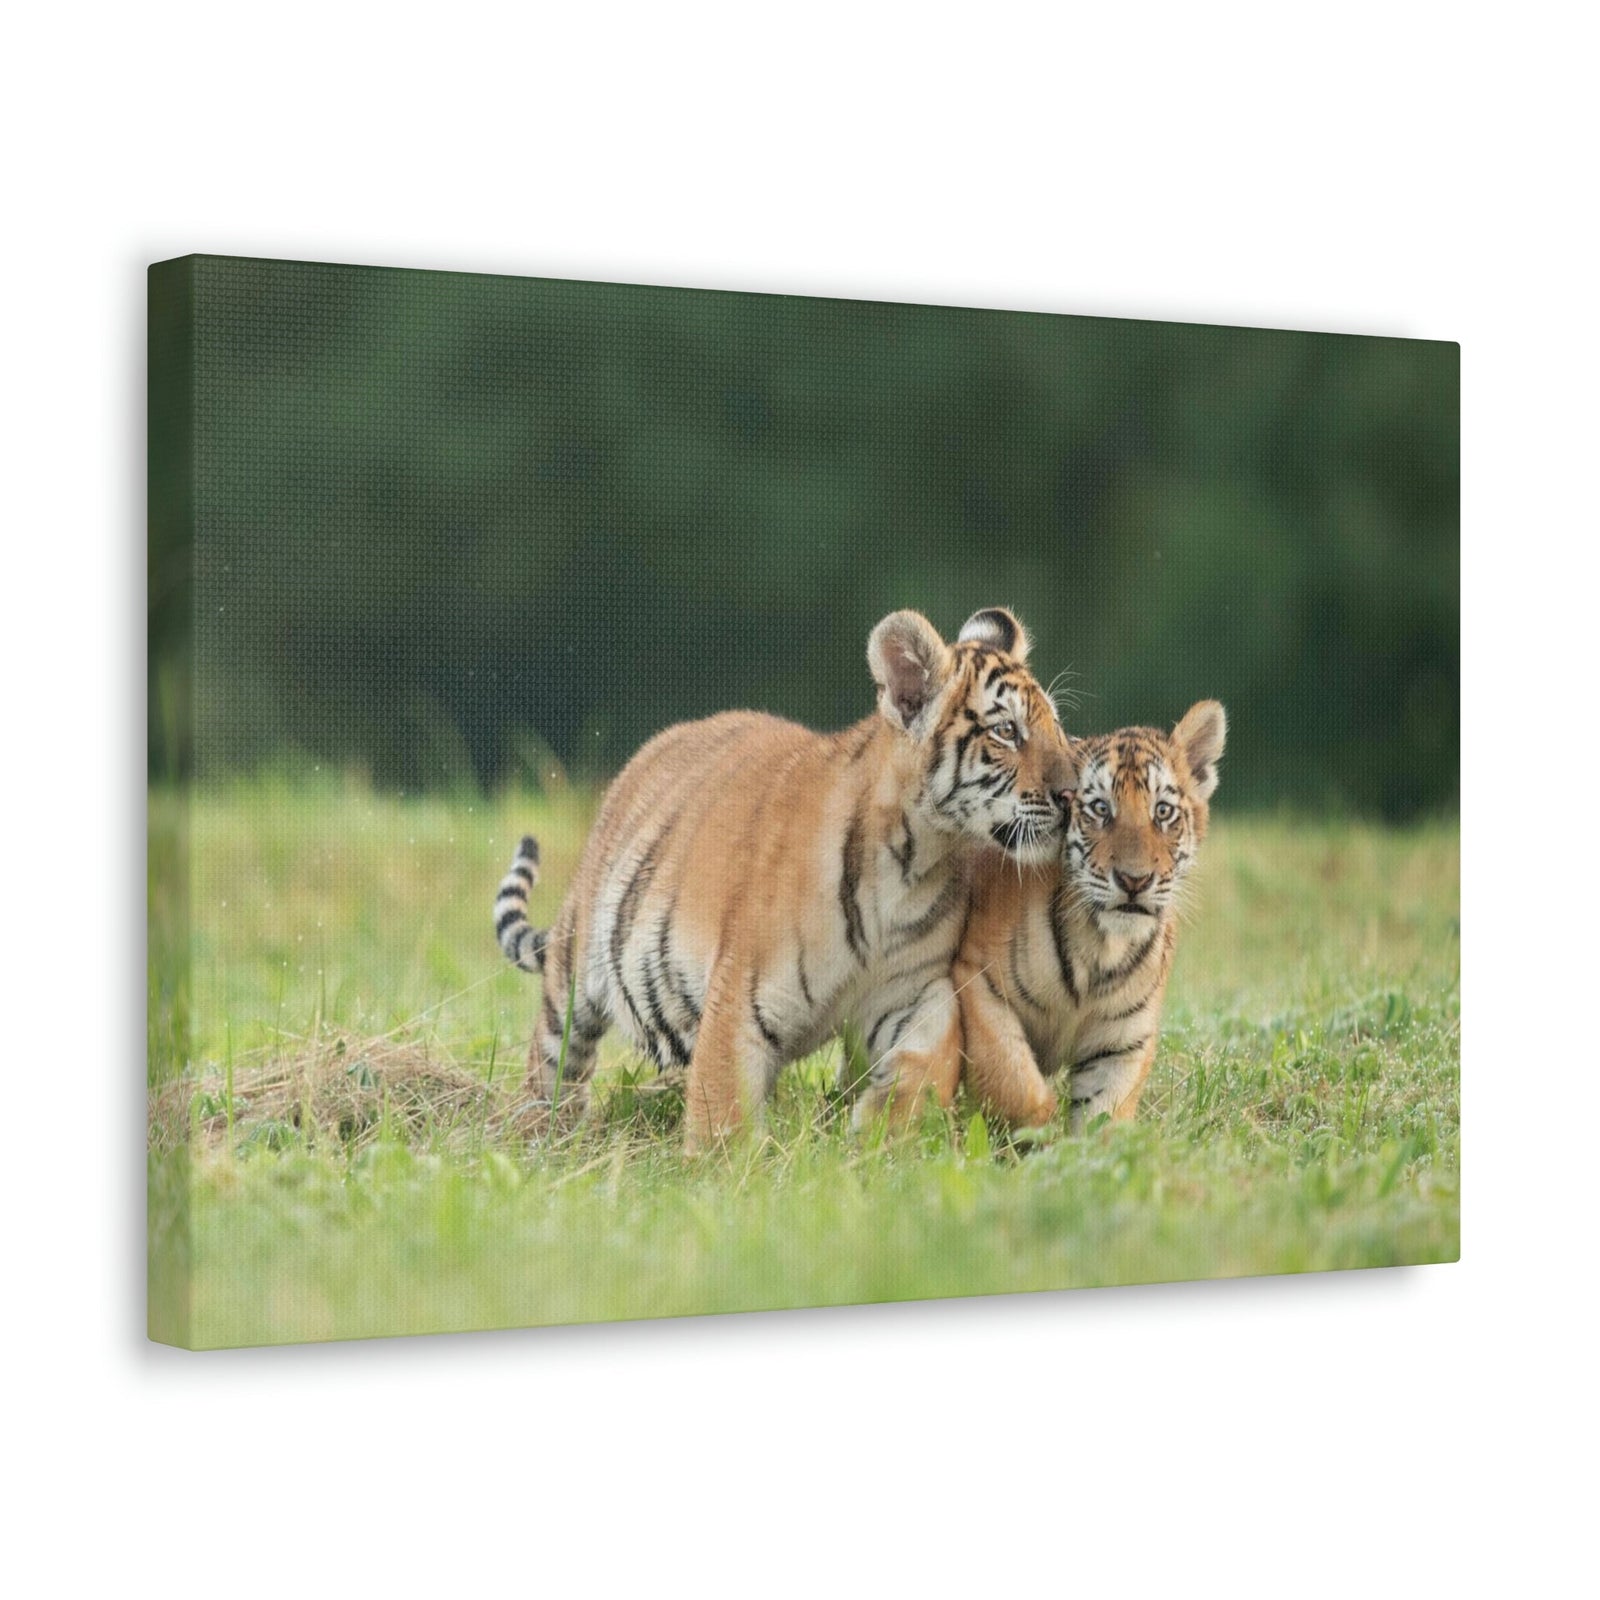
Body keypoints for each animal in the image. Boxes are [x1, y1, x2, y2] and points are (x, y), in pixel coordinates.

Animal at [494, 607, 1074, 1152]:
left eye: (1056, 726)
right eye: (1006, 731)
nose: (1072, 795)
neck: (914, 861)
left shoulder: (915, 989)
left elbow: (932, 1060)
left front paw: (883, 1132)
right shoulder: (738, 1004)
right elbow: (723, 1116)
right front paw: (725, 1173)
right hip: (574, 981)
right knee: (553, 1064)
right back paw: (540, 1137)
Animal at [954, 701, 1226, 1132]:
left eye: (1162, 811)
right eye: (1100, 809)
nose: (1134, 880)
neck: (1101, 946)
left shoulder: (1123, 1041)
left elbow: (1103, 1117)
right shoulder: (979, 983)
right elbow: (1013, 1082)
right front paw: (1041, 1130)